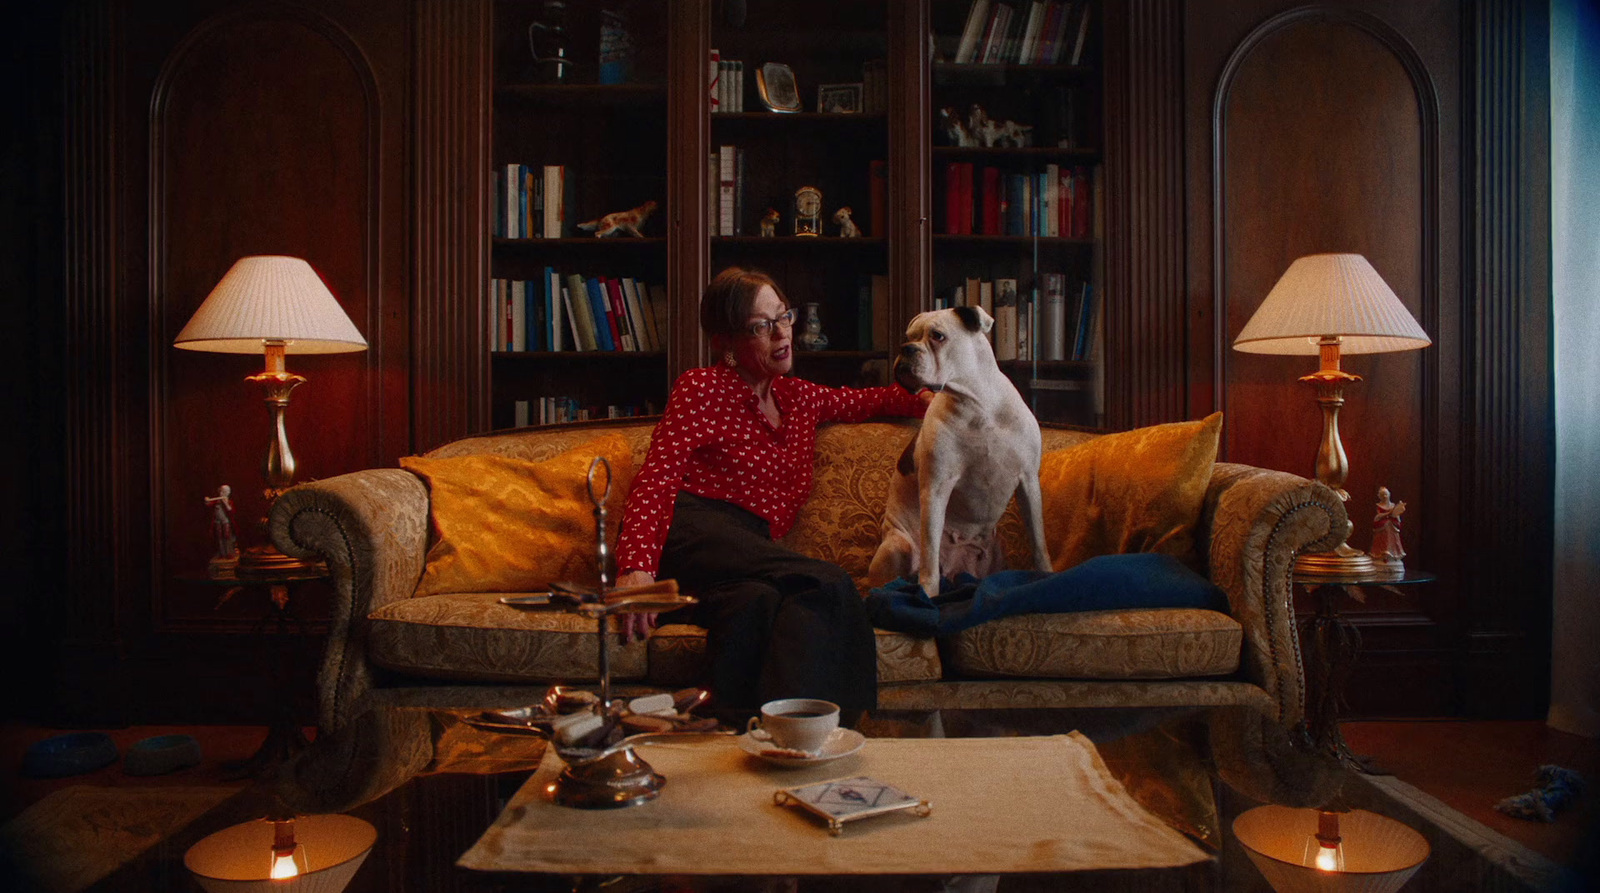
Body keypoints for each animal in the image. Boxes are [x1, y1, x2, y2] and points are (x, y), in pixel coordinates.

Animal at [876, 304, 1049, 598]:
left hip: (998, 549)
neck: (977, 405)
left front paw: (1048, 574)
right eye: (909, 336)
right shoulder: (936, 488)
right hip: (897, 545)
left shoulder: (1028, 482)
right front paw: (928, 595)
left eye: (937, 336)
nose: (905, 348)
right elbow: (929, 555)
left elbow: (1038, 540)